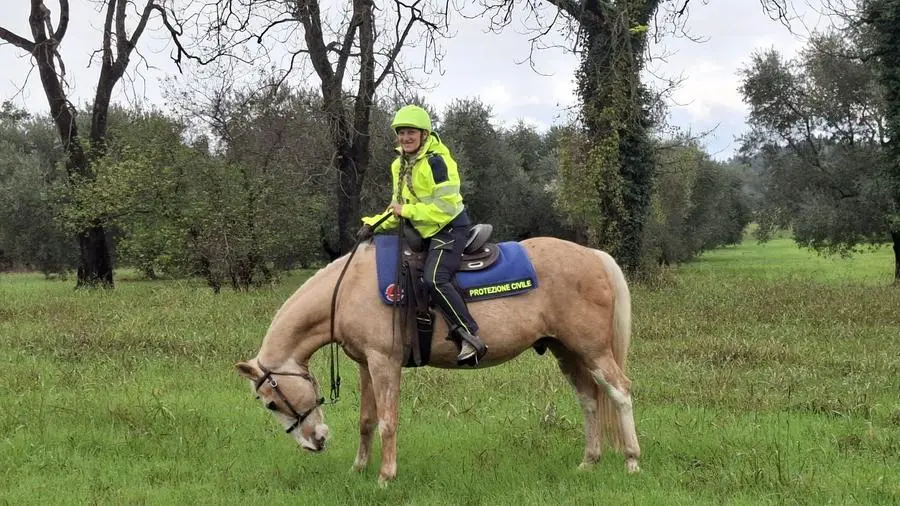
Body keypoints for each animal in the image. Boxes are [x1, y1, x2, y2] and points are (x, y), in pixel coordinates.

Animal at [232, 235, 640, 484]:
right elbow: (366, 421)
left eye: (270, 403)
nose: (314, 443)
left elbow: (387, 422)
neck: (349, 290)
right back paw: (588, 462)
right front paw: (358, 468)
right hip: (566, 351)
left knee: (619, 392)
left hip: (592, 350)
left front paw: (385, 477)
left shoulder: (385, 363)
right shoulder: (365, 364)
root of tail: (594, 256)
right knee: (589, 399)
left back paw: (632, 460)